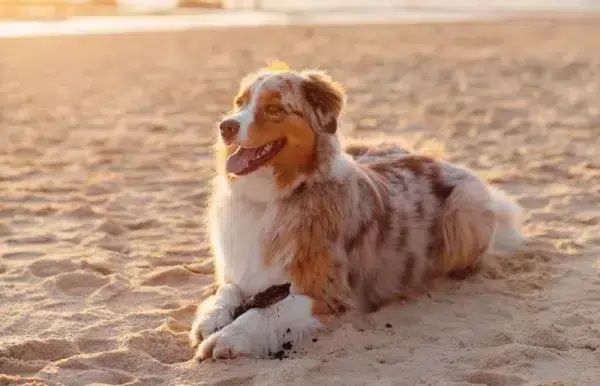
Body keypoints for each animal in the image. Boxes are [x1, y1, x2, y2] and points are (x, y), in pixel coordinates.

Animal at [190, 61, 524, 362]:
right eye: (240, 102)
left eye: (274, 108)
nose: (226, 126)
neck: (269, 199)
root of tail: (440, 161)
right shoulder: (240, 271)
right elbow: (225, 292)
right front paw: (211, 318)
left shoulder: (333, 297)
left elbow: (267, 310)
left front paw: (228, 337)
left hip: (463, 213)